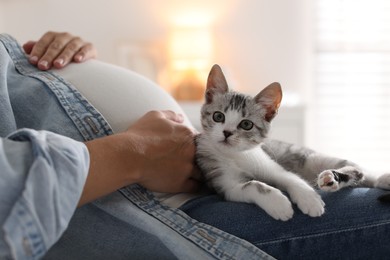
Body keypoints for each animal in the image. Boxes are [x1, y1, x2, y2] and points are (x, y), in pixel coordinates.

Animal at [197, 64, 390, 220]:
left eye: (246, 124)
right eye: (218, 116)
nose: (227, 133)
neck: (236, 155)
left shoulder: (272, 166)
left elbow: (290, 178)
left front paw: (309, 199)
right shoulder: (226, 185)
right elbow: (253, 185)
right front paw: (279, 204)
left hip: (310, 158)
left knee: (359, 170)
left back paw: (340, 177)